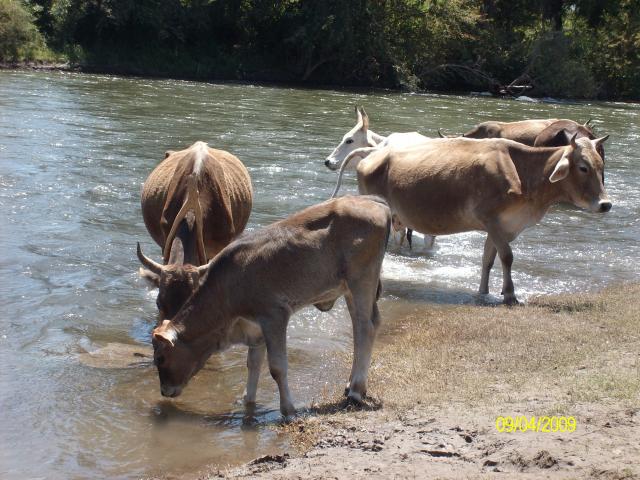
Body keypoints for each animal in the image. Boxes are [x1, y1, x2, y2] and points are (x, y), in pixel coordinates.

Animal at [150, 194, 390, 416]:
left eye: (160, 358)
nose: (164, 391)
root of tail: (371, 200)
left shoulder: (274, 315)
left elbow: (277, 367)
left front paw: (288, 410)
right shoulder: (255, 328)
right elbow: (253, 363)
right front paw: (248, 400)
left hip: (361, 281)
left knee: (365, 328)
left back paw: (356, 391)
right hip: (350, 289)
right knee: (364, 326)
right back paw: (352, 385)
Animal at [336, 132, 608, 304]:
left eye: (601, 166)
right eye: (583, 167)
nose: (606, 204)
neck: (524, 173)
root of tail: (373, 153)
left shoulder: (501, 227)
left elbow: (488, 259)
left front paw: (483, 292)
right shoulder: (492, 220)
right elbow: (507, 257)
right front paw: (510, 295)